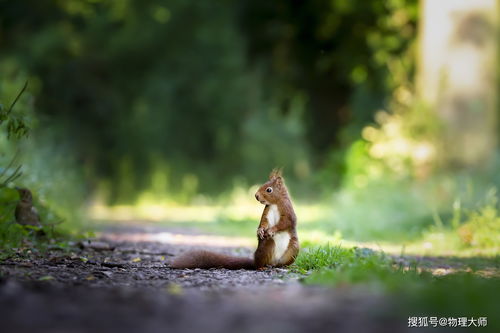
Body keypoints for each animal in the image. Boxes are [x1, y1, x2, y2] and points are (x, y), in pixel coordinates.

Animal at [170, 169, 298, 270]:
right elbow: (264, 222)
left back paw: (283, 266)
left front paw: (271, 230)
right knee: (259, 263)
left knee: (282, 262)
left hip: (293, 249)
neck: (275, 204)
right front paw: (260, 231)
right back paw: (261, 267)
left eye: (269, 190)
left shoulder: (287, 211)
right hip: (267, 246)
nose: (256, 196)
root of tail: (273, 262)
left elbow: (286, 222)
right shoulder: (267, 211)